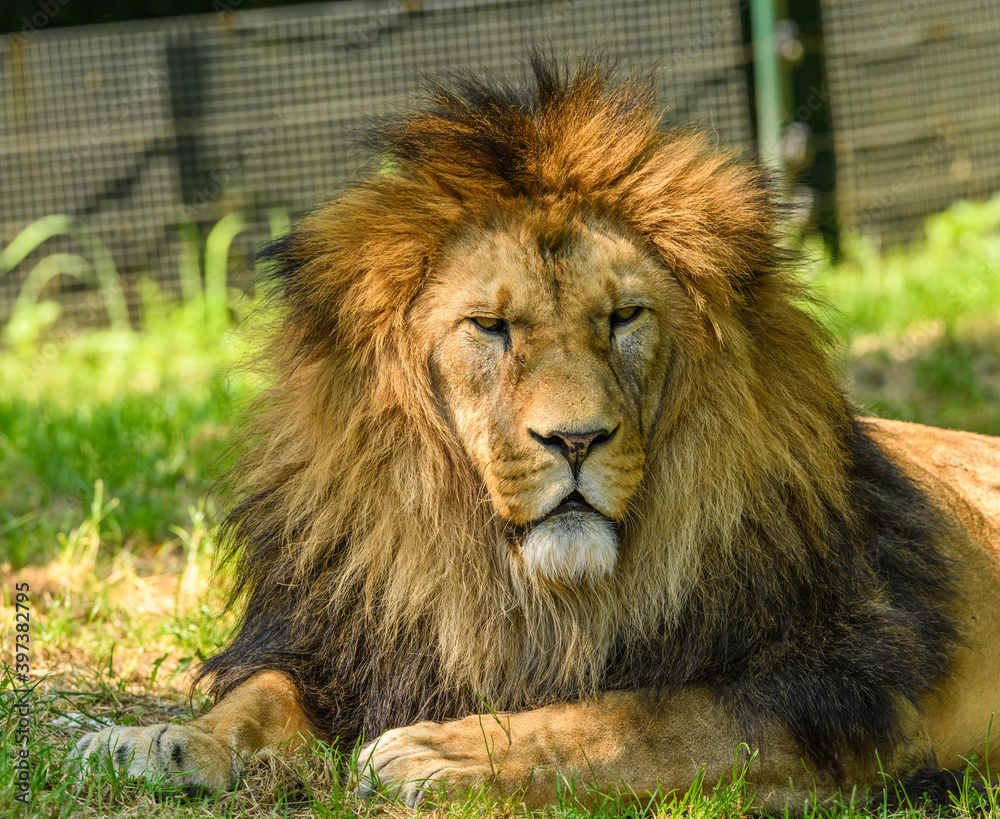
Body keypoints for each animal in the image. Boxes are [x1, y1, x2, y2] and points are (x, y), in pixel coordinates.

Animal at [72, 60, 1000, 812]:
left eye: (624, 317)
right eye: (491, 326)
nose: (577, 440)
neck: (522, 586)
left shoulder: (843, 684)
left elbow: (647, 714)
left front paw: (447, 749)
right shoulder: (350, 636)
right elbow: (262, 693)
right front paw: (164, 741)